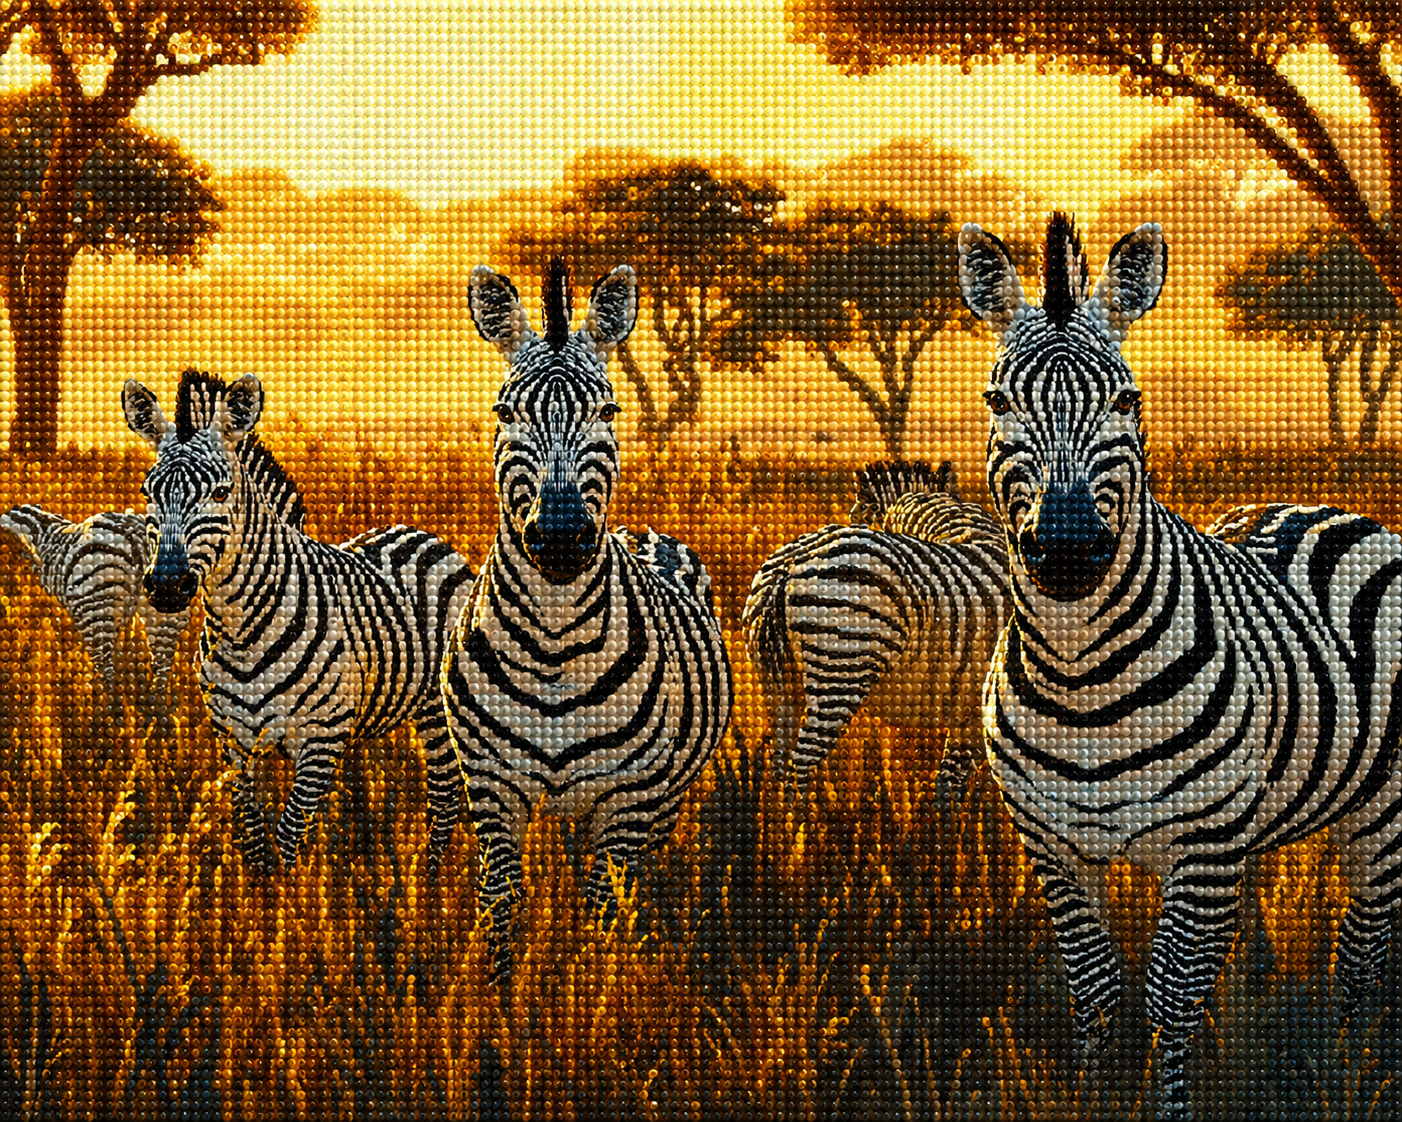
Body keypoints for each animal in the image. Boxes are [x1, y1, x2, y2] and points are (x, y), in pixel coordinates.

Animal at [1, 504, 191, 719]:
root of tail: (138, 537)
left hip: (95, 611)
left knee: (105, 667)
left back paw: (106, 714)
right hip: (166, 610)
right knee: (162, 665)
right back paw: (158, 713)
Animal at [121, 369, 475, 875]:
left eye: (221, 493)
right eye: (148, 493)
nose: (167, 585)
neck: (241, 630)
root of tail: (418, 533)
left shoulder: (320, 738)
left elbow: (288, 836)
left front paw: (296, 893)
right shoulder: (233, 742)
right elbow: (252, 836)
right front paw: (265, 895)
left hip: (433, 709)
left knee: (445, 797)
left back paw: (428, 879)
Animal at [442, 259, 733, 983]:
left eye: (608, 410)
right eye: (504, 411)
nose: (560, 538)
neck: (553, 642)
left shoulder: (627, 800)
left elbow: (603, 912)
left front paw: (599, 996)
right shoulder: (493, 789)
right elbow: (502, 908)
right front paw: (500, 1001)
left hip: (661, 796)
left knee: (630, 877)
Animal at [743, 459, 1010, 799]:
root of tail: (790, 566)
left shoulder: (968, 706)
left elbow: (950, 784)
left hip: (777, 686)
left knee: (779, 763)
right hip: (841, 665)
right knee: (802, 761)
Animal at [963, 212, 1402, 1117]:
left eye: (1127, 400)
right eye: (998, 400)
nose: (1067, 552)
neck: (1079, 677)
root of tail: (1334, 509)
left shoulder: (1201, 847)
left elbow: (1169, 997)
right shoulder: (1051, 845)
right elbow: (1094, 991)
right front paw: (1092, 1100)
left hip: (1380, 812)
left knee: (1362, 955)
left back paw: (1354, 1070)